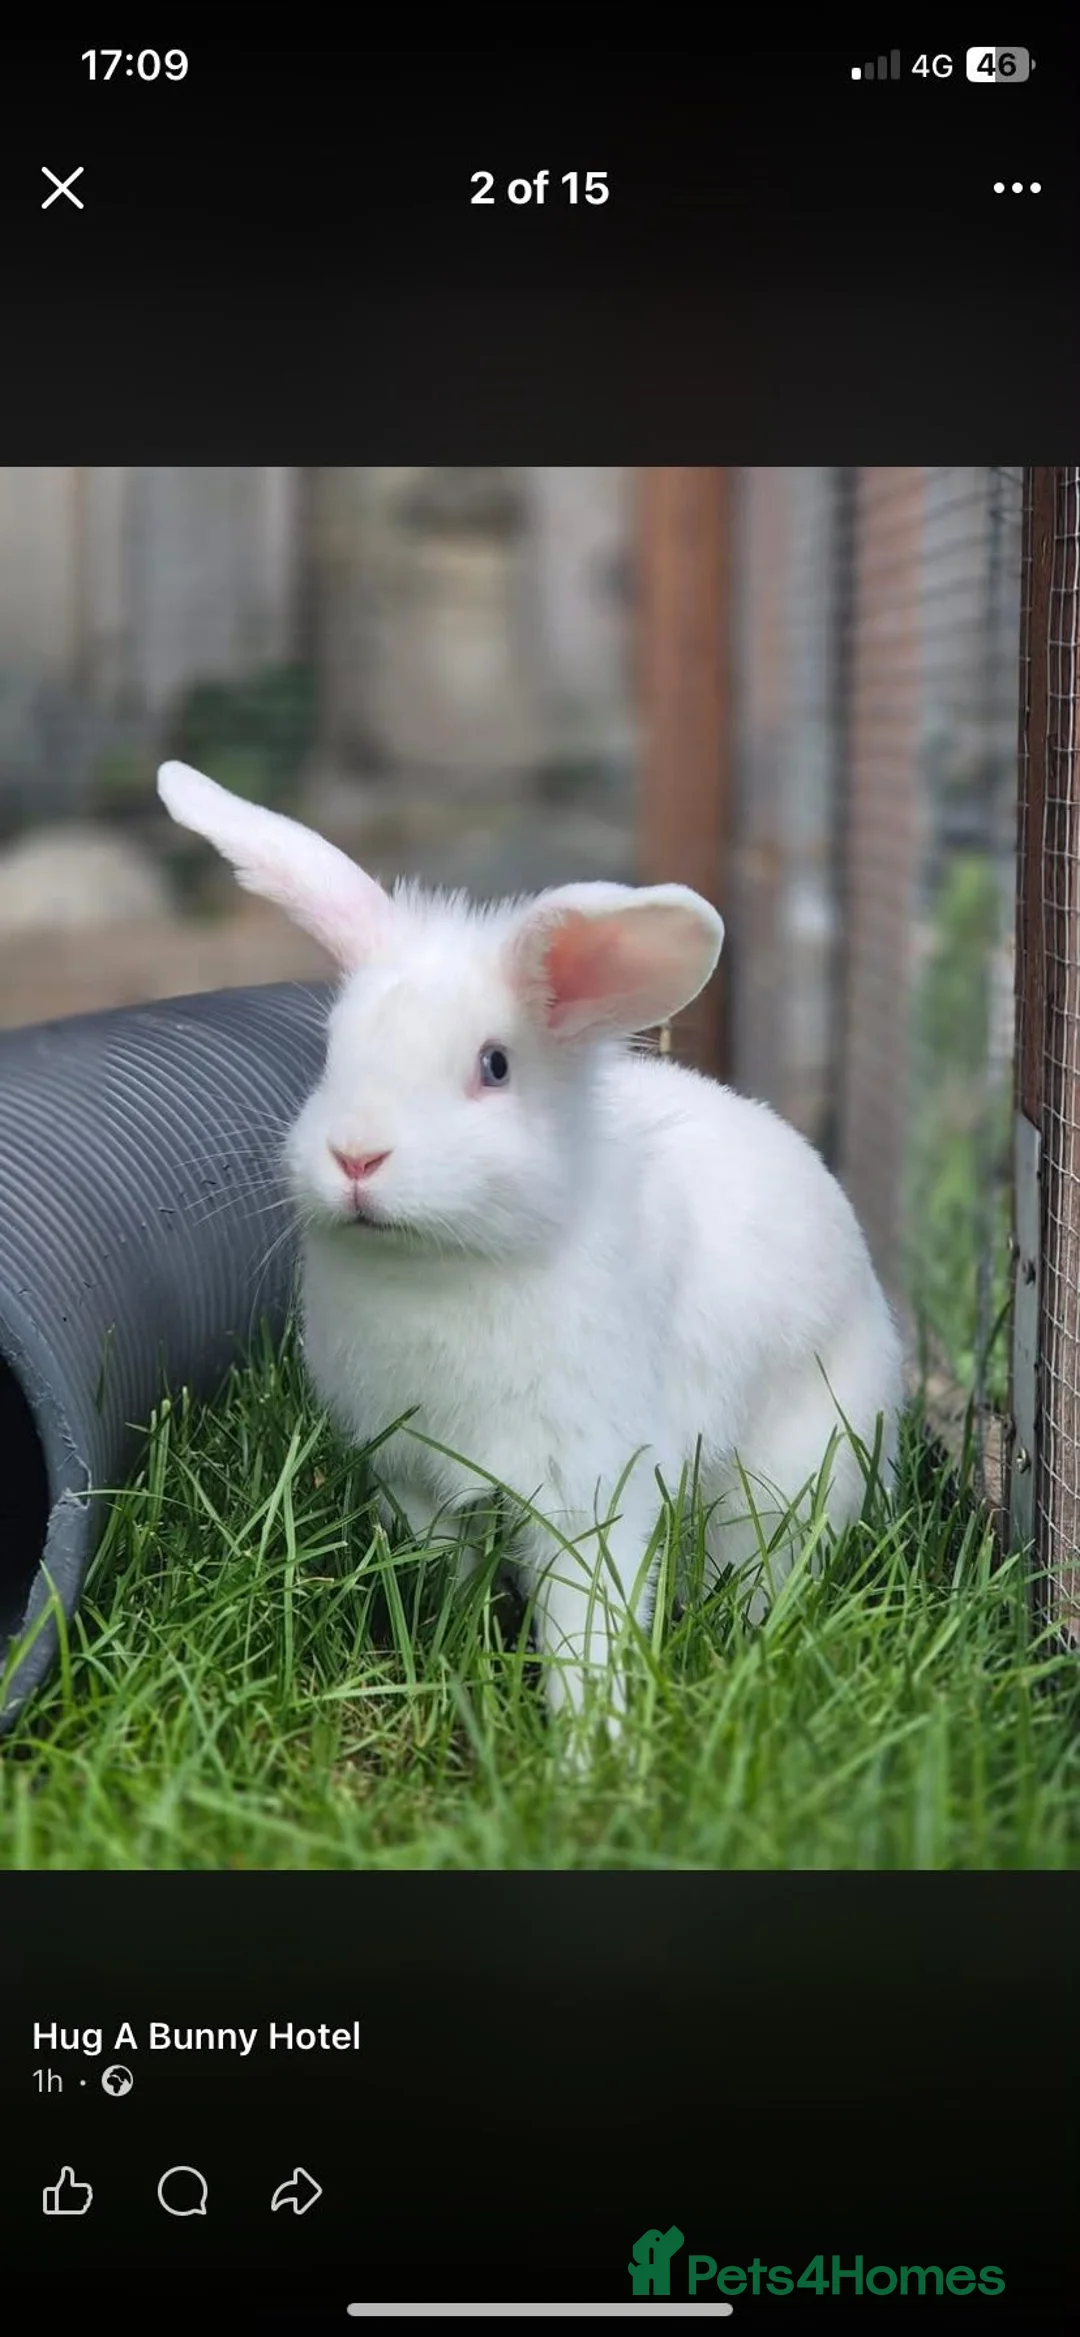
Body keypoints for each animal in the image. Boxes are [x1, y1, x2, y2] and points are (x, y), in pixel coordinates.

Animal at [157, 761, 905, 1737]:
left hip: (788, 1474)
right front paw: (440, 1656)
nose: (357, 1157)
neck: (440, 1264)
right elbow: (443, 1570)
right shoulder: (413, 1474)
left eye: (495, 1066)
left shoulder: (587, 1489)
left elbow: (587, 1624)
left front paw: (594, 1749)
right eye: (329, 1055)